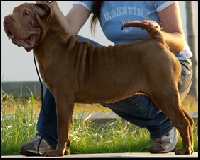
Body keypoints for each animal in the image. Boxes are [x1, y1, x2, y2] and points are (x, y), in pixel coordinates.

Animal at [3, 0, 193, 156]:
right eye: (14, 11)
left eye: (26, 13)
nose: (6, 19)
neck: (52, 42)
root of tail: (158, 41)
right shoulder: (63, 99)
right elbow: (66, 127)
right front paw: (64, 150)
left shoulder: (63, 97)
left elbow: (62, 127)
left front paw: (57, 152)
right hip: (165, 95)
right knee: (188, 119)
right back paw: (187, 148)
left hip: (164, 93)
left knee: (182, 121)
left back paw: (184, 150)